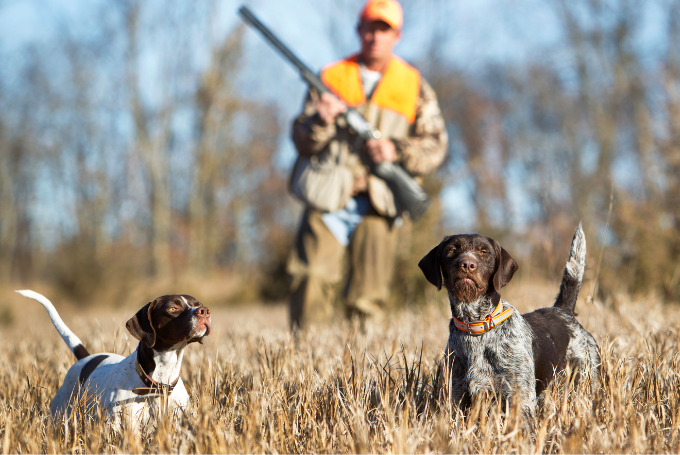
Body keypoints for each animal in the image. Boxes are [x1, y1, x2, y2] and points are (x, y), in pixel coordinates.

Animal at [16, 290, 212, 430]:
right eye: (173, 308)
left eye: (198, 305)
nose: (204, 311)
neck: (158, 382)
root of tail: (85, 358)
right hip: (60, 415)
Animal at [420, 224, 600, 428]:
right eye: (451, 250)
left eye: (484, 252)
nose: (467, 264)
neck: (476, 327)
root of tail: (564, 311)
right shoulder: (455, 399)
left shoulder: (520, 400)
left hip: (586, 379)